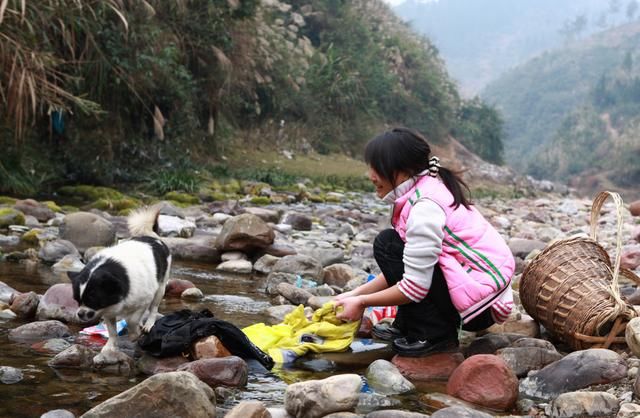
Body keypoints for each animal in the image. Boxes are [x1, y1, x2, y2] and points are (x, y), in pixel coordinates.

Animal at [69, 207, 171, 362]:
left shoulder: (143, 300)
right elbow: (112, 331)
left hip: (160, 288)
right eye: (77, 300)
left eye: (92, 300)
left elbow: (132, 320)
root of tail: (153, 237)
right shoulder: (107, 310)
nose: (80, 314)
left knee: (153, 308)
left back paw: (148, 324)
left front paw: (134, 334)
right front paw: (110, 347)